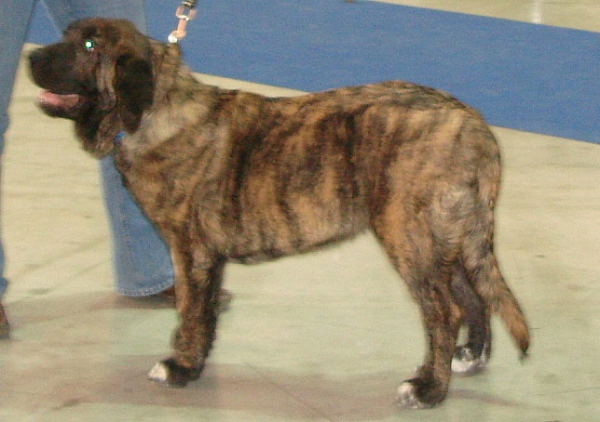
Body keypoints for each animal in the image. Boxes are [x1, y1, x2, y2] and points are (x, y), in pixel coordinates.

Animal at [30, 18, 528, 408]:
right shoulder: (208, 259)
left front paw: (179, 367)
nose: (31, 57)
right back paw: (470, 357)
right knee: (473, 295)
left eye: (89, 46)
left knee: (444, 312)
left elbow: (189, 311)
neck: (155, 110)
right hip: (447, 235)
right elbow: (205, 313)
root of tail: (474, 125)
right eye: (69, 35)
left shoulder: (191, 251)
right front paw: (197, 362)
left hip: (410, 236)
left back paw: (428, 388)